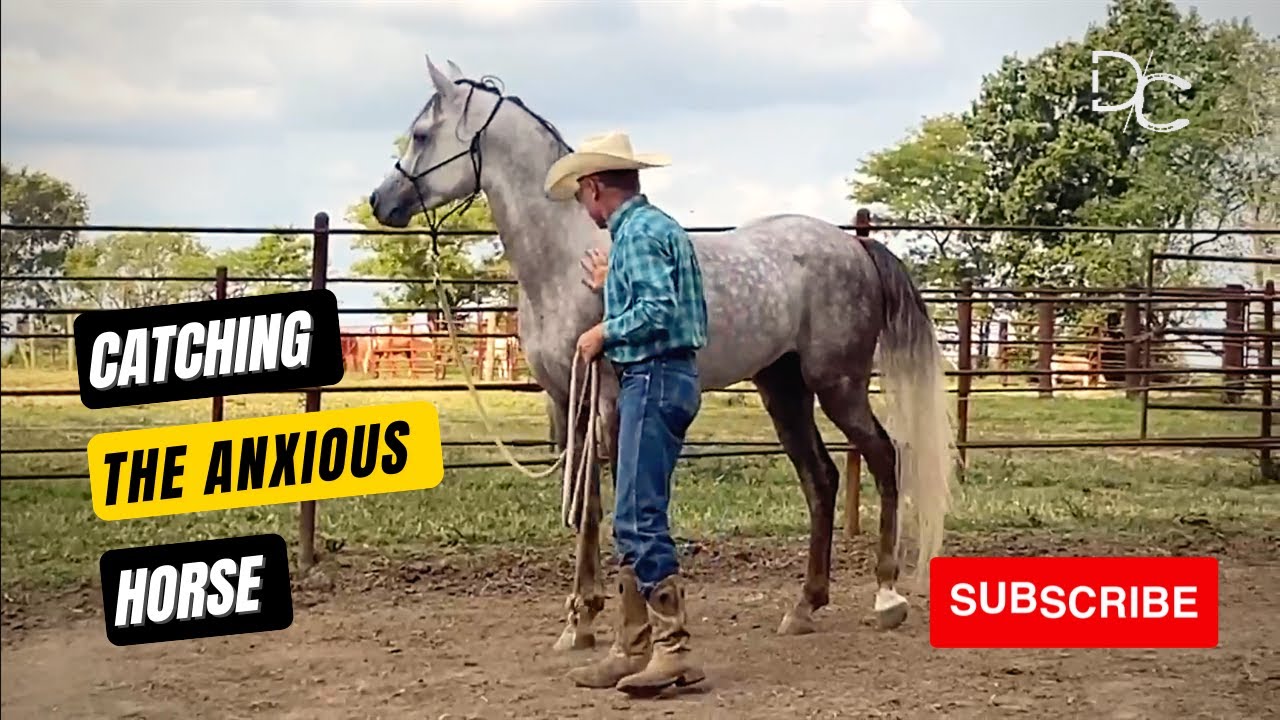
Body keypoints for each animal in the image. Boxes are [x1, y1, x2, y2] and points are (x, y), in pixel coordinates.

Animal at [367, 56, 956, 651]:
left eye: (422, 134)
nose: (381, 201)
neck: (567, 259)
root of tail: (854, 245)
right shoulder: (567, 400)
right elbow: (586, 505)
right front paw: (580, 621)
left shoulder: (605, 400)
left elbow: (602, 508)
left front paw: (599, 619)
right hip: (783, 389)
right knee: (822, 480)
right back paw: (805, 606)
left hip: (839, 385)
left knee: (884, 458)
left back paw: (886, 595)